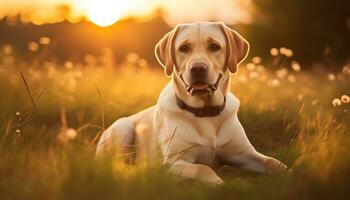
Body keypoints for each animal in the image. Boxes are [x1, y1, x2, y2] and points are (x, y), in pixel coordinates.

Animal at [96, 21, 288, 184]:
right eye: (184, 48)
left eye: (214, 46)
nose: (197, 68)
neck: (206, 111)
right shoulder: (174, 161)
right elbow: (202, 168)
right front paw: (219, 183)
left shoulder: (244, 153)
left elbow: (273, 162)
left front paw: (291, 173)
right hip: (123, 127)